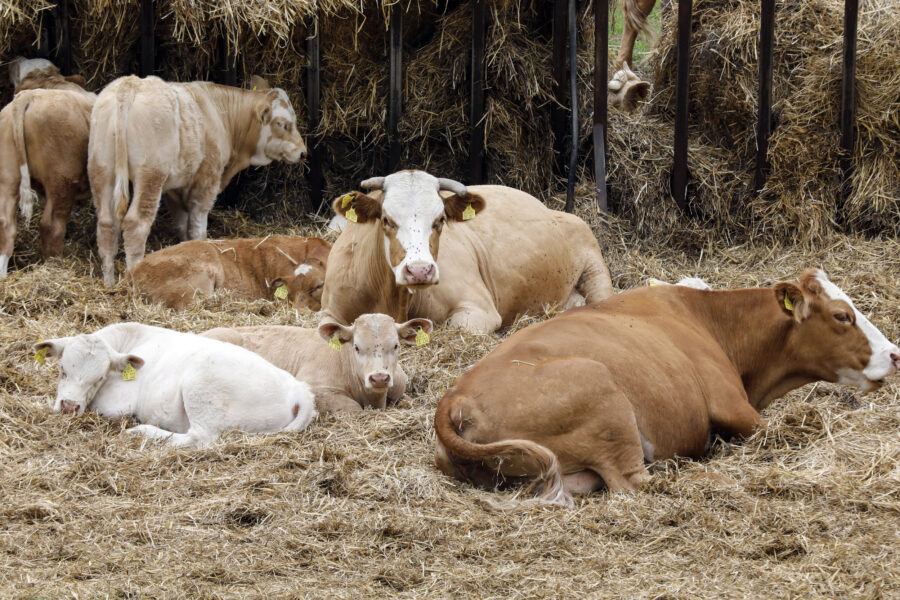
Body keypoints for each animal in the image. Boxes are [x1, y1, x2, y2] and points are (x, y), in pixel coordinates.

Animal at [0, 63, 95, 277]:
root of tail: (30, 96)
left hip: (8, 177)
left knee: (5, 225)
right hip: (61, 181)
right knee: (51, 226)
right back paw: (56, 266)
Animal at [33, 323, 317, 447]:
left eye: (99, 378)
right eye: (62, 370)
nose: (69, 407)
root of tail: (299, 389)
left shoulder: (116, 405)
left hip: (201, 390)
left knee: (199, 437)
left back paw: (141, 432)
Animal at [88, 75, 307, 286]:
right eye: (282, 124)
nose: (303, 152)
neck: (221, 115)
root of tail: (130, 84)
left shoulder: (176, 188)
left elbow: (181, 225)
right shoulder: (207, 180)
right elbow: (197, 229)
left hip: (101, 169)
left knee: (106, 225)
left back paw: (108, 282)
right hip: (150, 175)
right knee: (136, 224)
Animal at [321, 170, 613, 334]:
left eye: (440, 220)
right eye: (386, 220)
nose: (420, 271)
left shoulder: (479, 309)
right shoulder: (328, 311)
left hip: (594, 265)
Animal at [433, 269, 900, 506]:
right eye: (842, 316)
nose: (894, 354)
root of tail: (456, 398)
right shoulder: (735, 406)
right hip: (602, 392)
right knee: (633, 482)